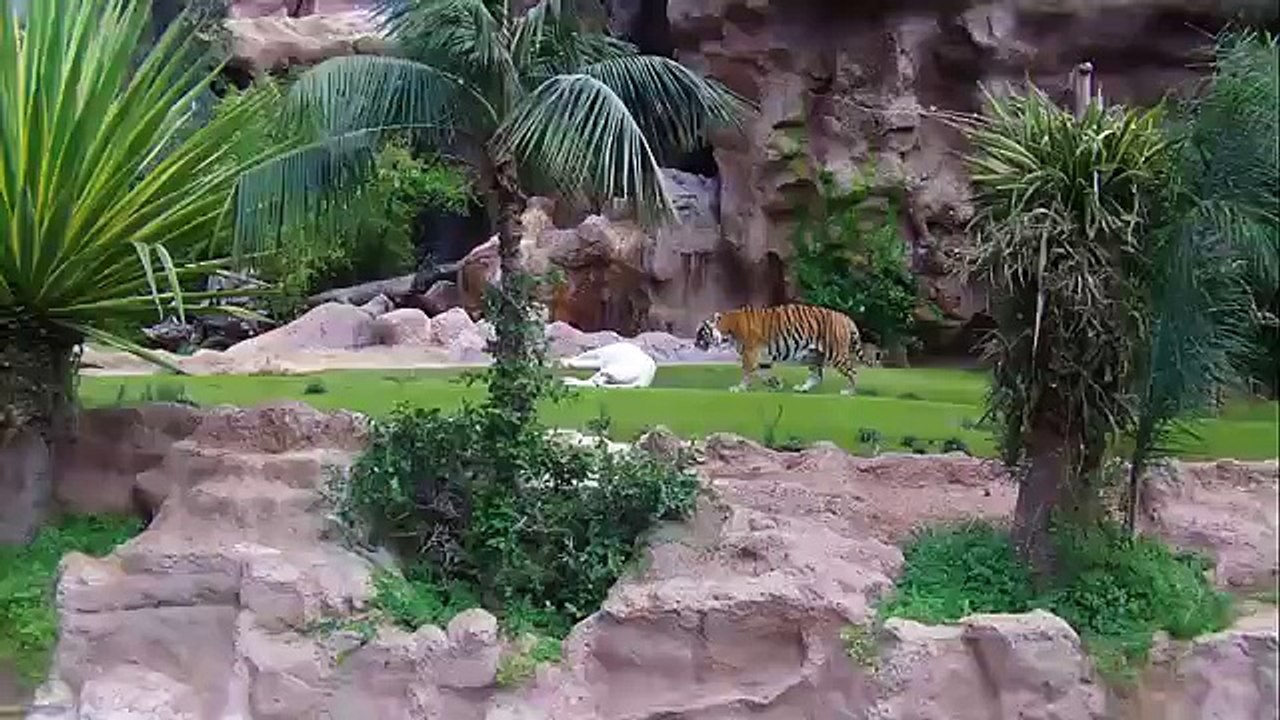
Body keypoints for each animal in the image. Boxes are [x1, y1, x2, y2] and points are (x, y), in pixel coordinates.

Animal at [694, 304, 876, 394]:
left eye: (701, 333)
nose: (694, 344)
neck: (727, 328)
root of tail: (845, 317)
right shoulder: (762, 356)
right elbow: (763, 373)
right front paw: (777, 384)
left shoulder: (750, 352)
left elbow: (747, 372)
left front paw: (739, 388)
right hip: (814, 355)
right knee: (817, 376)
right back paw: (802, 389)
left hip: (835, 353)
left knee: (853, 372)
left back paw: (849, 391)